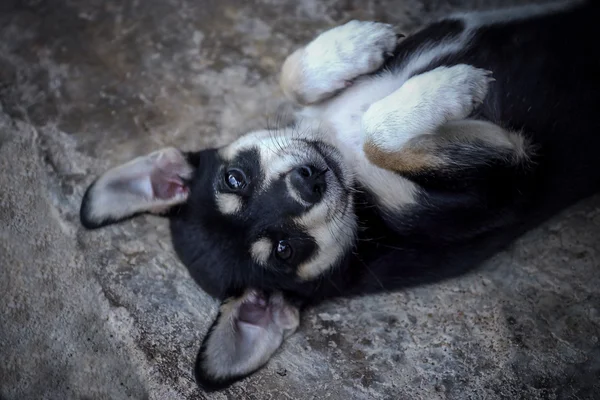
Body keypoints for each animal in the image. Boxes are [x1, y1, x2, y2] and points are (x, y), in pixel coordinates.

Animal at [78, 0, 600, 392]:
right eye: (284, 250)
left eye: (234, 179)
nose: (309, 181)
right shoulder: (509, 179)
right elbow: (379, 135)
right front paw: (448, 89)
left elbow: (290, 75)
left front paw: (351, 46)